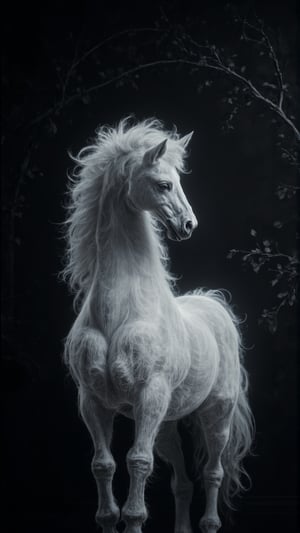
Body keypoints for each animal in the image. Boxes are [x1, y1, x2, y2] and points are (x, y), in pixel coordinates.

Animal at [62, 117, 253, 532]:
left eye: (179, 180)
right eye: (164, 184)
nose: (189, 224)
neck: (119, 312)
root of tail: (213, 302)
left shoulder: (149, 394)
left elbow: (138, 464)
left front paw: (133, 518)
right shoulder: (93, 402)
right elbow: (104, 466)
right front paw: (109, 517)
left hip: (217, 415)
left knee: (212, 474)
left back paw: (210, 522)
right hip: (167, 422)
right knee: (182, 483)